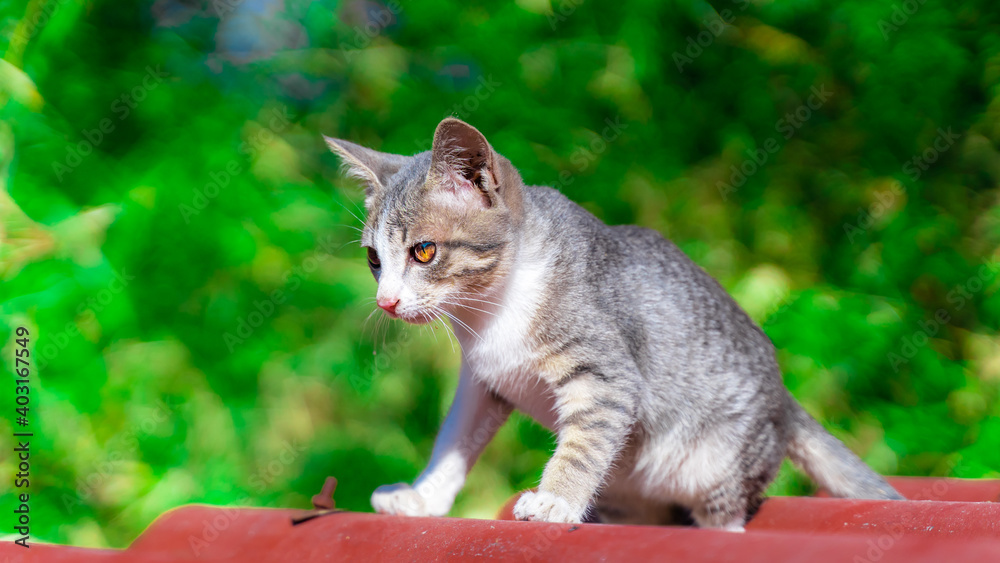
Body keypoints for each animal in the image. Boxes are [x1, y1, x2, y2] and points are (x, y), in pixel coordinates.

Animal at [324, 118, 904, 528]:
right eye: (374, 259)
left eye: (424, 251)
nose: (386, 301)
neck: (491, 314)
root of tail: (785, 399)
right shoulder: (484, 382)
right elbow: (454, 442)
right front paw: (423, 499)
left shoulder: (607, 371)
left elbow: (585, 441)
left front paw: (555, 502)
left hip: (723, 465)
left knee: (726, 515)